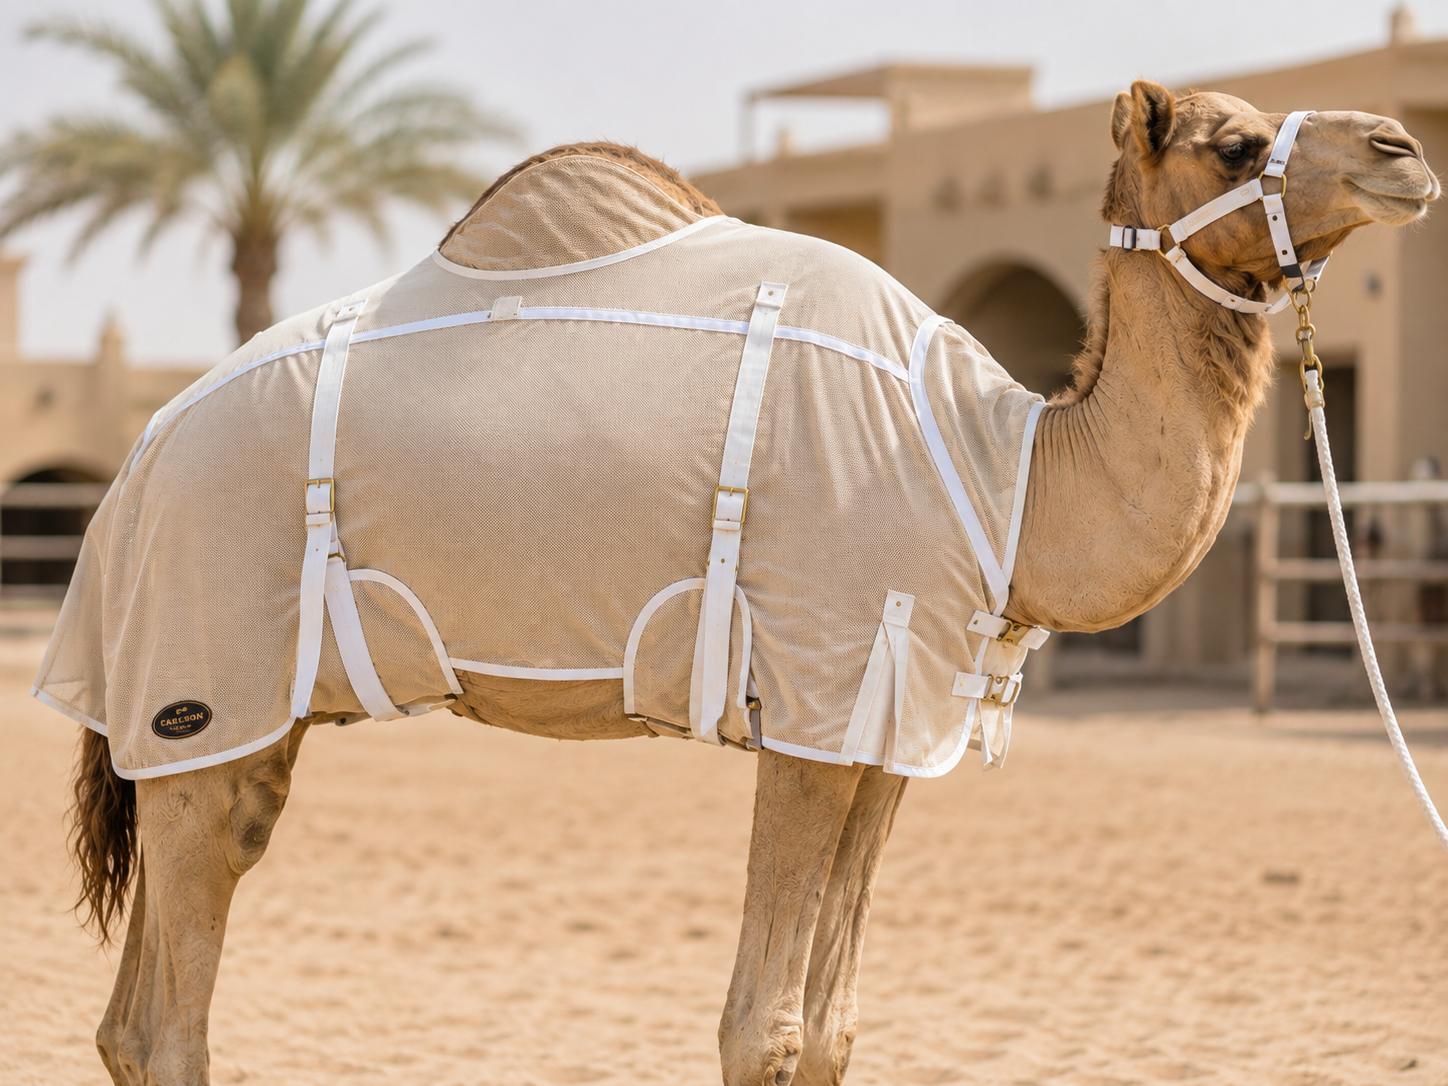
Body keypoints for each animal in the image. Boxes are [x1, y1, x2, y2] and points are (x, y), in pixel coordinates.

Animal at [61, 82, 1436, 1086]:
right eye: (1234, 141)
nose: (1404, 149)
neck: (1002, 469)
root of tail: (131, 468)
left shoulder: (887, 718)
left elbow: (826, 1028)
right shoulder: (816, 690)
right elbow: (760, 1026)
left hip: (235, 720)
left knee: (140, 997)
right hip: (203, 669)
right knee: (167, 1021)